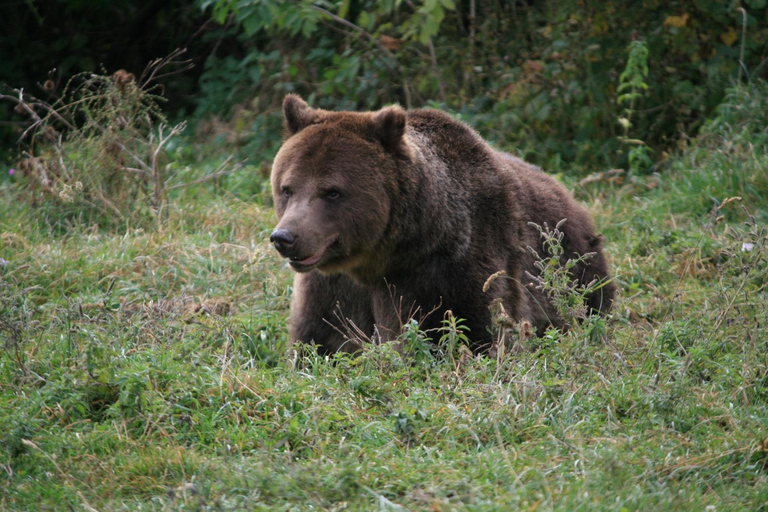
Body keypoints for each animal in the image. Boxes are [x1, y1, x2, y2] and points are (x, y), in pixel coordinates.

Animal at [269, 94, 616, 354]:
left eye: (331, 191)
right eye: (287, 188)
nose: (285, 237)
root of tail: (570, 196)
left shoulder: (452, 270)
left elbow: (474, 331)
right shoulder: (332, 287)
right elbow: (320, 338)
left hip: (575, 269)